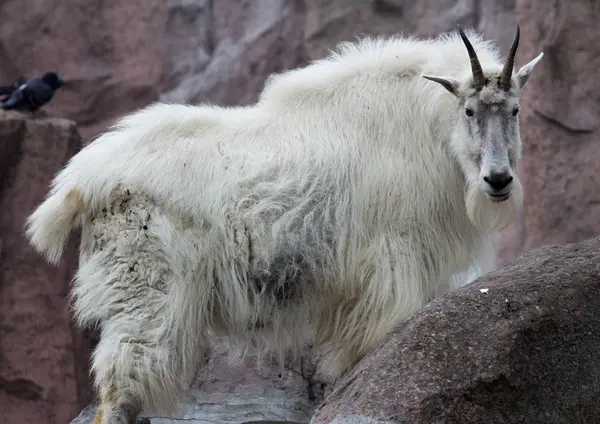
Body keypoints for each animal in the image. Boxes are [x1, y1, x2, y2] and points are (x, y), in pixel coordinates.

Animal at [24, 25, 544, 424]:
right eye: (470, 110)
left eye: (515, 110)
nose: (498, 181)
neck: (424, 128)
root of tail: (80, 183)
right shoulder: (392, 261)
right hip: (146, 295)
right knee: (119, 392)